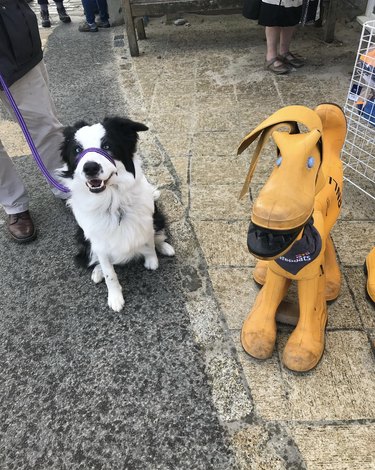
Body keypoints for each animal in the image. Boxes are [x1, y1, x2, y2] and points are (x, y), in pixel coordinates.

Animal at [59, 115, 176, 310]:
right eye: (77, 150)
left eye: (107, 146)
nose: (90, 167)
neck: (112, 201)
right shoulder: (99, 242)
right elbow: (110, 274)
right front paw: (115, 297)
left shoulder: (146, 222)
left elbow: (149, 243)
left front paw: (152, 260)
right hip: (83, 239)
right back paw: (97, 271)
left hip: (157, 217)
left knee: (158, 234)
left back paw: (165, 247)